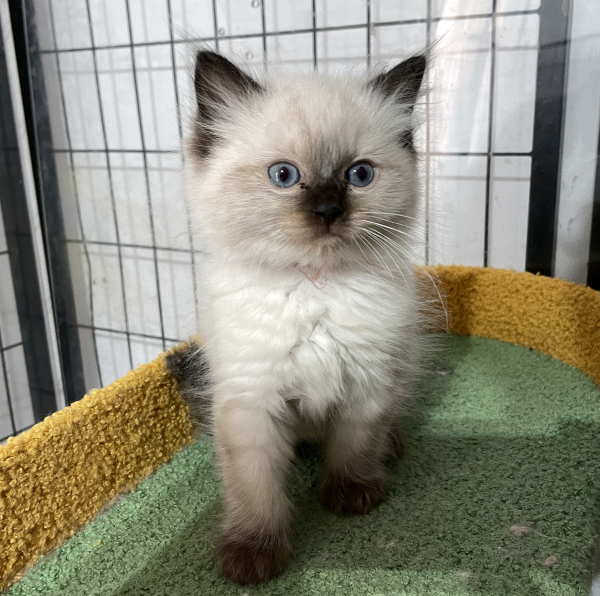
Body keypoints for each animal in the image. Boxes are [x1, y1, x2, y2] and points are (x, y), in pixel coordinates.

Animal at [169, 50, 432, 584]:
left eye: (359, 175)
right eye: (284, 176)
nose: (329, 210)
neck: (315, 286)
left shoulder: (368, 381)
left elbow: (354, 447)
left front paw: (351, 495)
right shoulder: (252, 399)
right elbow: (255, 488)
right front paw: (253, 556)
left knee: (385, 426)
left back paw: (391, 448)